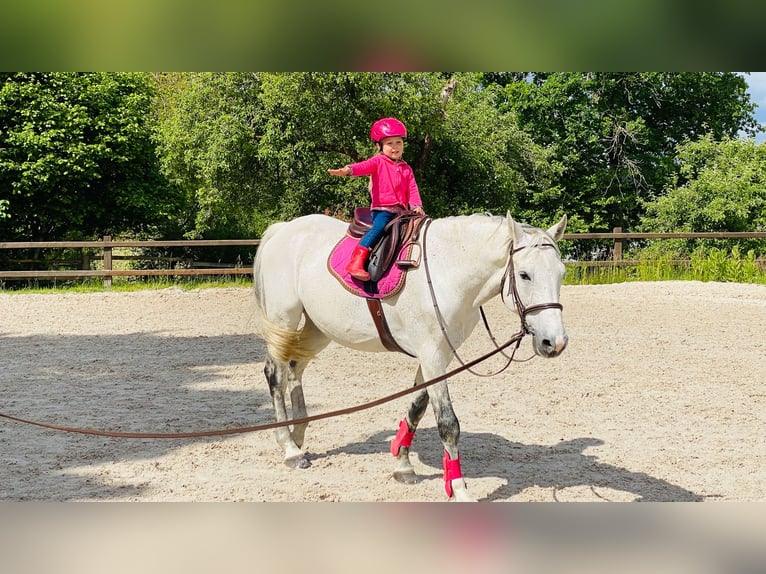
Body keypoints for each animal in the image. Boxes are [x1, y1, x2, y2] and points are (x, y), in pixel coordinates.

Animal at [254, 213, 568, 504]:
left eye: (561, 273)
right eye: (525, 274)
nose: (555, 342)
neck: (448, 271)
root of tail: (282, 229)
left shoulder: (439, 357)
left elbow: (417, 407)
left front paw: (403, 465)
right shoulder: (432, 356)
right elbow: (448, 424)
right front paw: (459, 489)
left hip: (319, 328)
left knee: (295, 369)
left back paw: (298, 434)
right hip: (284, 320)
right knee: (276, 375)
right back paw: (289, 448)